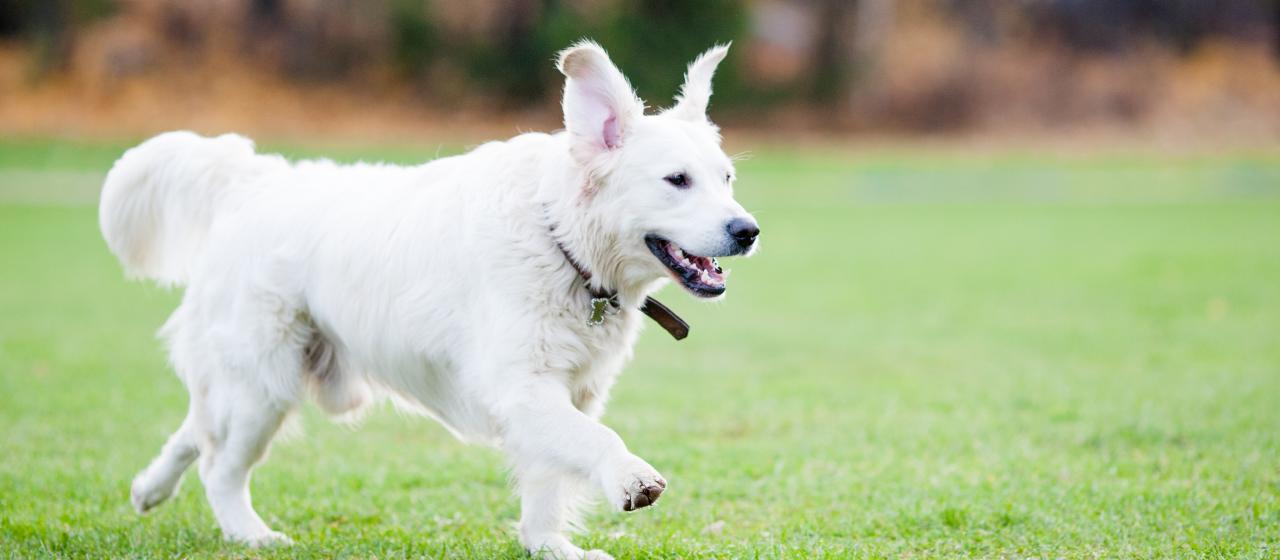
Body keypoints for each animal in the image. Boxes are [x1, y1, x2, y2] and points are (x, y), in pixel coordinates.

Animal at [104, 40, 757, 560]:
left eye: (725, 178)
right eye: (677, 180)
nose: (748, 231)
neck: (562, 242)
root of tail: (255, 181)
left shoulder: (572, 392)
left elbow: (550, 481)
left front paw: (548, 545)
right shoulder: (521, 387)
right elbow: (596, 442)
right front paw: (630, 478)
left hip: (248, 383)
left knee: (196, 430)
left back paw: (149, 488)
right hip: (264, 383)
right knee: (220, 466)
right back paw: (251, 535)